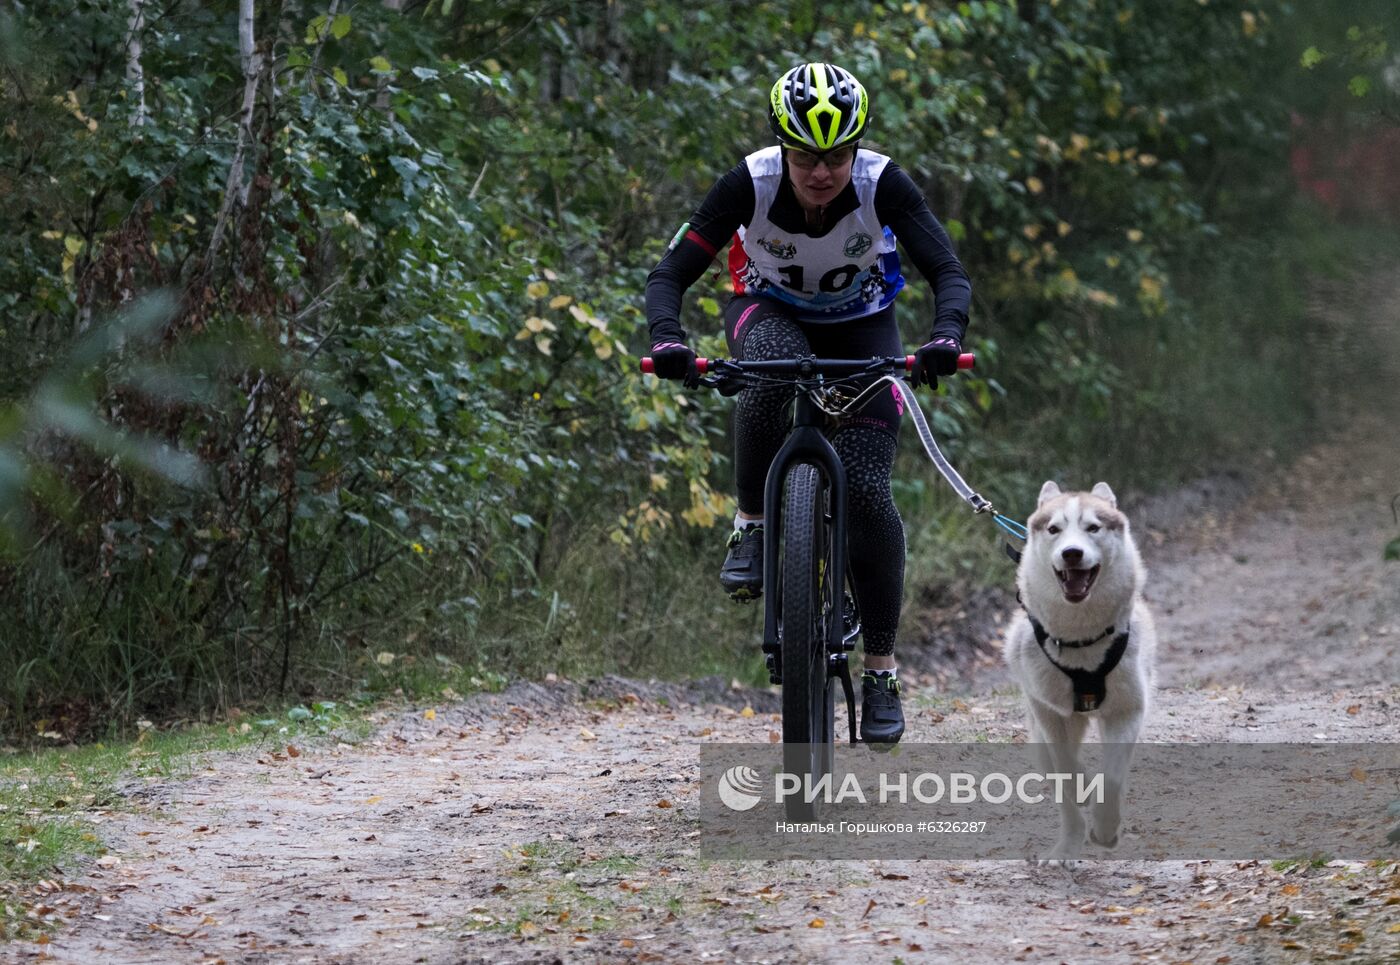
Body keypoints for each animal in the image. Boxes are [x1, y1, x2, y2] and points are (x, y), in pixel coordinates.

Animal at [1008, 481, 1159, 868]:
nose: (1072, 553)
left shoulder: (1127, 711)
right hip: (1038, 730)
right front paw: (1068, 844)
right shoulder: (1050, 714)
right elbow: (1066, 775)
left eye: (1093, 527)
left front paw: (1105, 830)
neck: (1081, 640)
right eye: (1054, 529)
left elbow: (1112, 779)